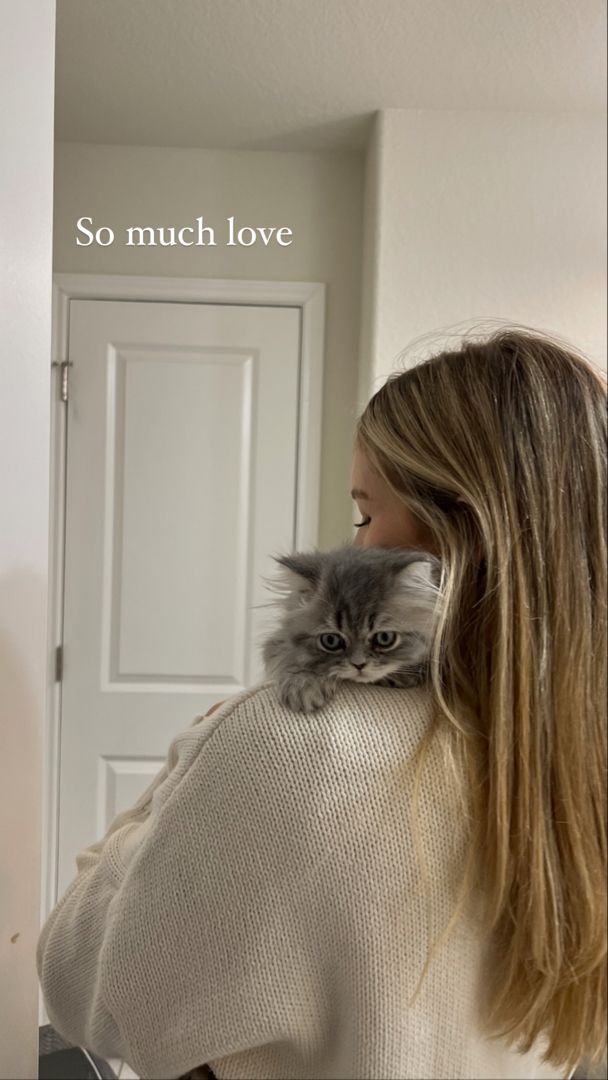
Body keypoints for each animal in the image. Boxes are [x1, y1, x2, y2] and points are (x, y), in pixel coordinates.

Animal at [260, 544, 442, 712]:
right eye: (331, 640)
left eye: (384, 638)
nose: (359, 665)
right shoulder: (279, 639)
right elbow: (289, 657)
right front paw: (304, 684)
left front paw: (401, 675)